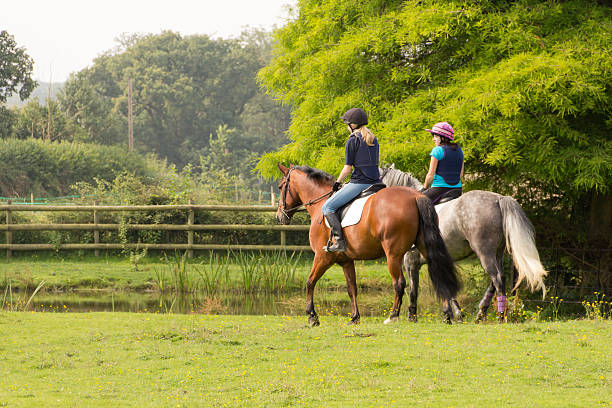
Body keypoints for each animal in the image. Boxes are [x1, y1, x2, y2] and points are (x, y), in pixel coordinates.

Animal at [276, 164, 460, 326]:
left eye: (280, 186)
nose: (279, 216)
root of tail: (416, 197)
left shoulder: (323, 257)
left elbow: (310, 282)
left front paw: (312, 316)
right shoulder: (346, 261)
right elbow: (352, 288)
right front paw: (355, 317)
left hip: (393, 255)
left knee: (399, 283)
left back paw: (393, 316)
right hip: (424, 247)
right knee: (438, 272)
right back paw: (446, 315)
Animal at [380, 165, 548, 322]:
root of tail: (499, 199)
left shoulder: (410, 262)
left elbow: (413, 290)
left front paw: (412, 317)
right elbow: (445, 286)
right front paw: (455, 314)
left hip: (484, 252)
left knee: (497, 278)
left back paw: (501, 316)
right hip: (498, 252)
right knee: (498, 279)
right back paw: (481, 312)